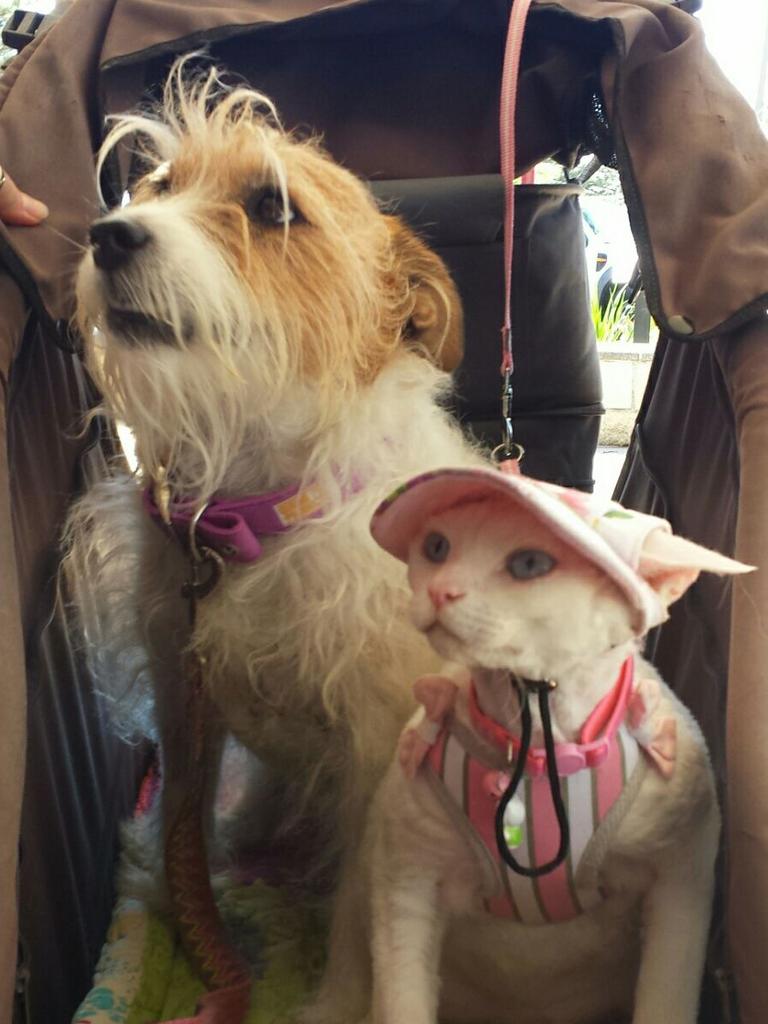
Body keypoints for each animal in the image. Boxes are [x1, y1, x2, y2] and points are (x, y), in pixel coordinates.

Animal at [67, 54, 487, 991]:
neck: (259, 517)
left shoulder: (379, 756)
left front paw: (338, 1000)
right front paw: (175, 890)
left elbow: (361, 907)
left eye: (271, 207)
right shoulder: (180, 686)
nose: (110, 234)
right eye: (159, 186)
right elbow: (184, 807)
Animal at [311, 466, 753, 1024]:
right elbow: (402, 999)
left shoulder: (683, 876)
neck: (539, 748)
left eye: (528, 564)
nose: (441, 591)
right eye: (437, 547)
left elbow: (666, 998)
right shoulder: (406, 877)